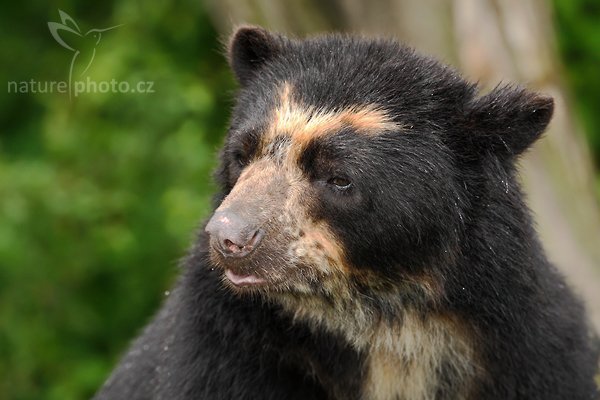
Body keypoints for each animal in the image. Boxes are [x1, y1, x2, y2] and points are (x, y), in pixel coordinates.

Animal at [95, 26, 600, 398]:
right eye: (242, 154)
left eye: (339, 179)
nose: (228, 238)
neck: (383, 323)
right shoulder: (221, 352)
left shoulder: (529, 351)